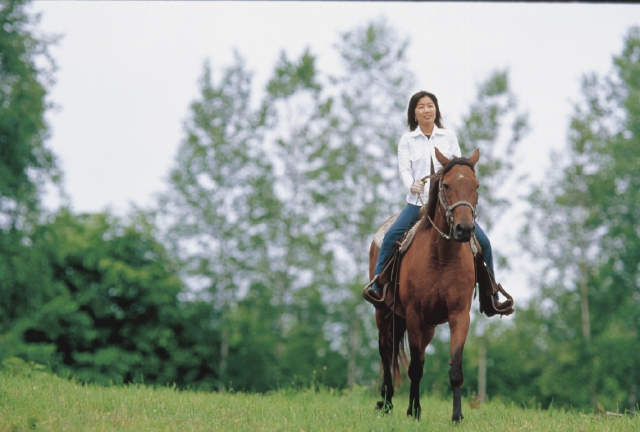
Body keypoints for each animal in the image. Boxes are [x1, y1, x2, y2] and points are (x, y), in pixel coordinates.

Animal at [370, 148, 480, 422]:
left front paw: (457, 417)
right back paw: (386, 402)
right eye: (447, 185)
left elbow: (455, 369)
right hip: (384, 314)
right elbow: (415, 369)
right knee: (386, 352)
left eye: (476, 186)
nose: (464, 229)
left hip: (426, 326)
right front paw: (415, 412)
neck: (442, 256)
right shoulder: (414, 314)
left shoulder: (459, 315)